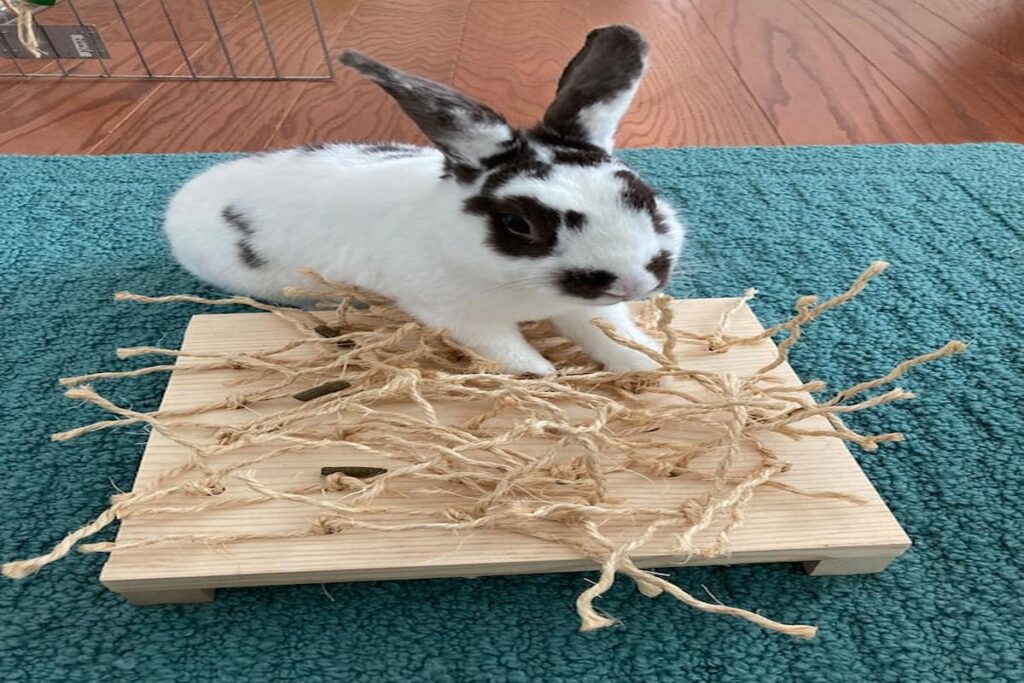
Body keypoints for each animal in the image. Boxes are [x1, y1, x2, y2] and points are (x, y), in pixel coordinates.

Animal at [163, 26, 684, 376]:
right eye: (518, 224)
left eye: (644, 197)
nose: (635, 283)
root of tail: (180, 203)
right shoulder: (457, 316)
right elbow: (505, 347)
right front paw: (541, 374)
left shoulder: (586, 308)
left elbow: (608, 331)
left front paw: (647, 365)